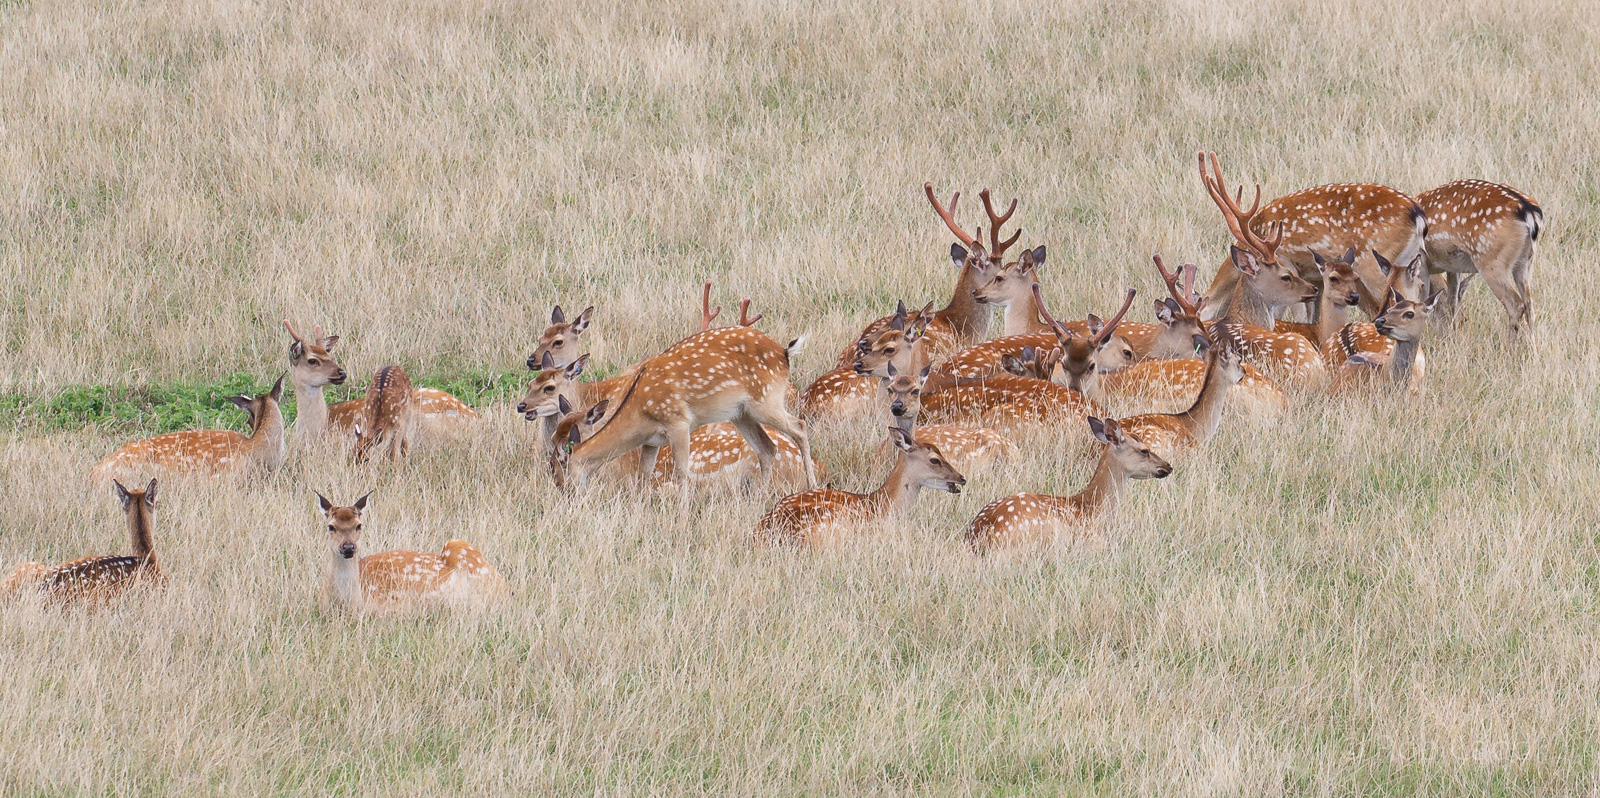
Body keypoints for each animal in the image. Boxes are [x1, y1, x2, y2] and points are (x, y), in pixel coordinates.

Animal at [548, 325, 818, 500]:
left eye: (555, 466)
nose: (562, 491)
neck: (640, 413)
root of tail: (785, 353)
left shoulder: (677, 421)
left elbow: (682, 473)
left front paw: (682, 517)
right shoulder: (651, 441)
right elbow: (643, 476)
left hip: (766, 400)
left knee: (800, 427)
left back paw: (812, 486)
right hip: (741, 414)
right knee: (767, 448)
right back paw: (759, 498)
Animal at [1416, 179, 1542, 340]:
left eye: (1464, 320)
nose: (1460, 324)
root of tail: (1530, 213)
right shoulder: (1453, 267)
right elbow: (1452, 301)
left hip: (1492, 262)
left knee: (1516, 304)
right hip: (1525, 262)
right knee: (1530, 306)